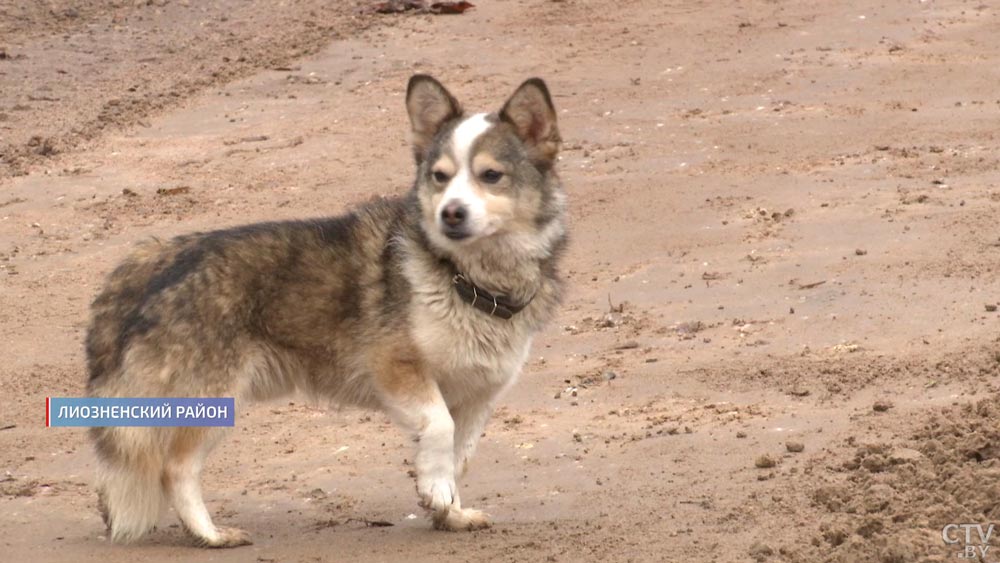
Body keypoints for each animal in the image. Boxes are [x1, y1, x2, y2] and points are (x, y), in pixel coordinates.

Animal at [84, 75, 572, 548]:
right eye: (440, 176)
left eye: (491, 175)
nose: (451, 213)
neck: (464, 278)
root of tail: (151, 262)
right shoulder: (396, 368)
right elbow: (437, 427)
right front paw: (437, 494)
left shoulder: (475, 397)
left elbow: (456, 455)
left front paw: (449, 511)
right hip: (212, 401)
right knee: (175, 470)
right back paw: (210, 535)